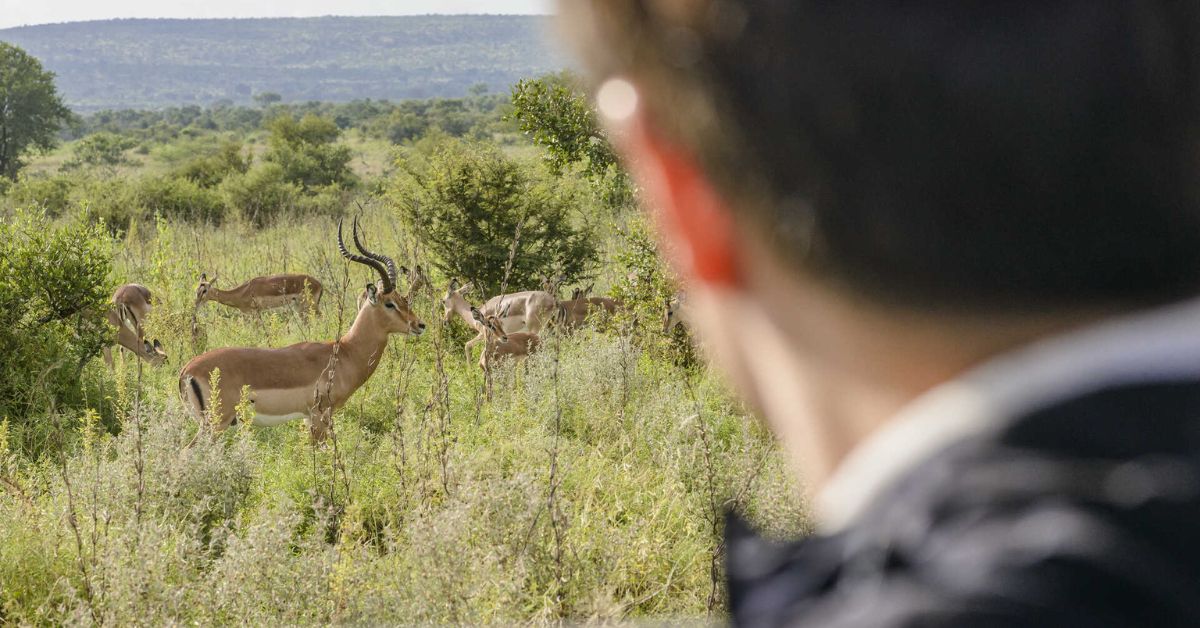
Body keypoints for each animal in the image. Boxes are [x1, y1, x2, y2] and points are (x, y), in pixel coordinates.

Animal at [194, 272, 323, 316]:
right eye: (196, 291)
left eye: (204, 290)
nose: (196, 305)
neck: (242, 292)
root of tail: (319, 284)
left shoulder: (253, 312)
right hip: (299, 308)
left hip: (310, 306)